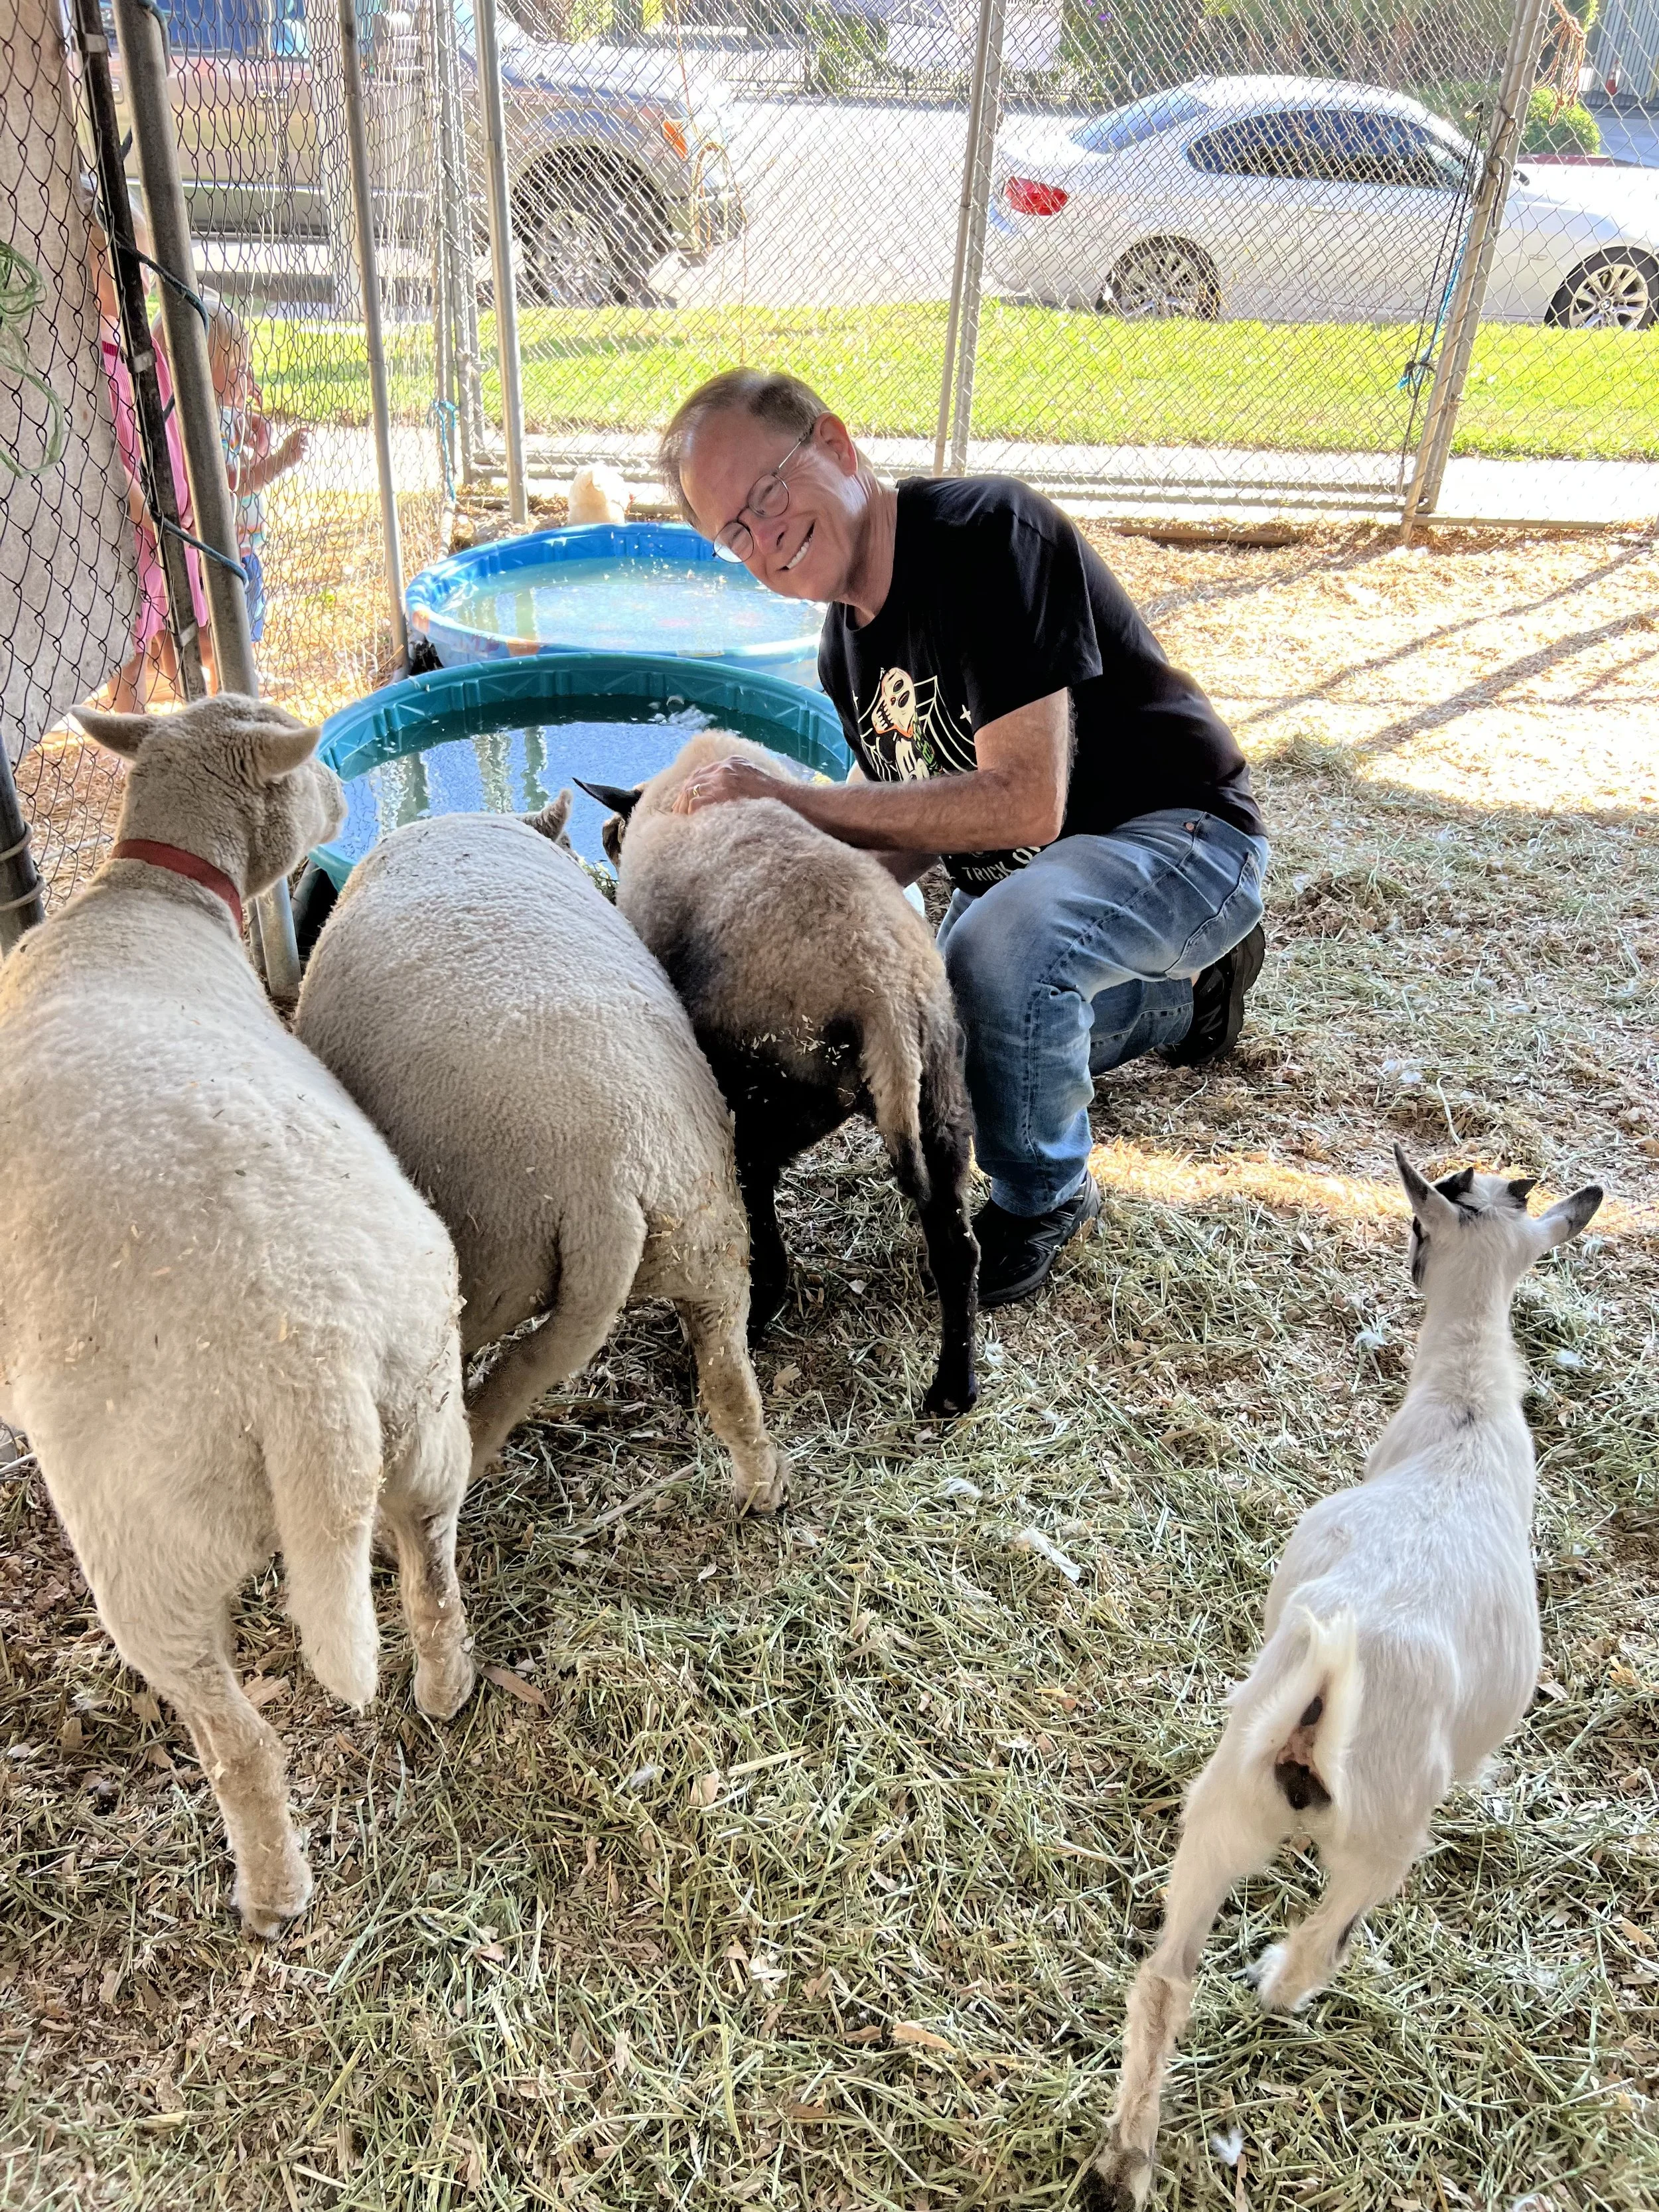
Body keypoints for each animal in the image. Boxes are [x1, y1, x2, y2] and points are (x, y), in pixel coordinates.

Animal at [0, 696, 476, 1937]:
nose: (341, 795)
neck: (148, 897)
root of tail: (307, 1367)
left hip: (144, 1547)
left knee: (237, 1739)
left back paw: (272, 1890)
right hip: (423, 1408)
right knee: (431, 1567)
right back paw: (445, 1688)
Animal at [576, 731, 978, 1419]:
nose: (606, 833)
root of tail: (885, 996)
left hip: (767, 1105)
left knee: (760, 1217)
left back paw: (749, 1324)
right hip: (940, 1103)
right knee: (957, 1249)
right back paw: (953, 1390)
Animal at [1084, 1145, 1604, 2210]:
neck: (1466, 1405)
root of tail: (1318, 1716)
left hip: (1221, 1815)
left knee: (1166, 1978)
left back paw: (1126, 2159)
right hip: (1381, 1838)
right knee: (1330, 1936)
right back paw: (1277, 1986)